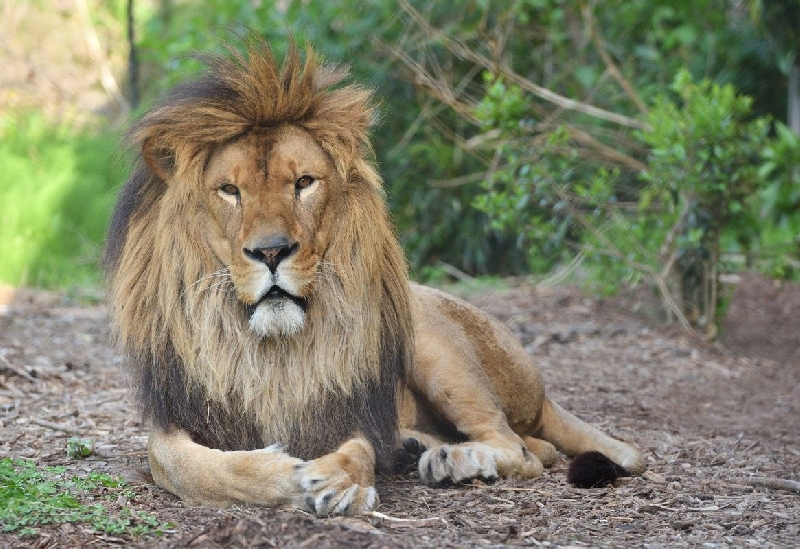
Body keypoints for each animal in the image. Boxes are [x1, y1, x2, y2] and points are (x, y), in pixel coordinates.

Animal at [104, 40, 644, 516]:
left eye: (304, 183)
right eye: (229, 191)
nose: (272, 251)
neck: (274, 353)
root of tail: (543, 394)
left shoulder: (350, 408)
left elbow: (357, 452)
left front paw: (337, 482)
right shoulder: (176, 417)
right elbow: (184, 464)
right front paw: (285, 475)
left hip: (431, 343)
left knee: (522, 450)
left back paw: (452, 460)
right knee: (537, 449)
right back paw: (417, 448)